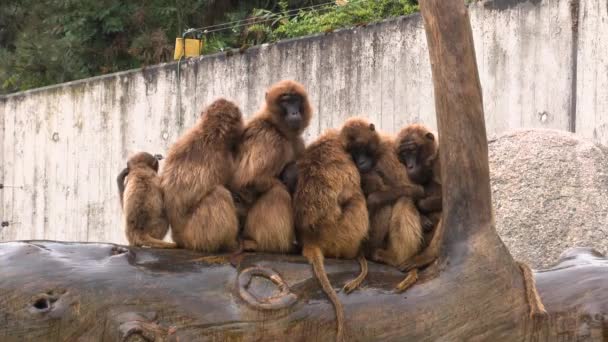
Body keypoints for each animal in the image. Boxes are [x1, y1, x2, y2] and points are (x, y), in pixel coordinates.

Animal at [160, 97, 243, 252]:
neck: (209, 134)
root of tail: (179, 238)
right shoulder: (225, 158)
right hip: (197, 235)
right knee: (219, 194)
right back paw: (230, 244)